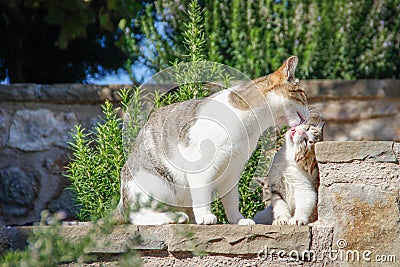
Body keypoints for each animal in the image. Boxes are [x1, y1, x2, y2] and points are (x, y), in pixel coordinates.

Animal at [115, 56, 310, 226]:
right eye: (303, 95)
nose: (310, 113)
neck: (252, 125)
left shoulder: (233, 171)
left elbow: (232, 201)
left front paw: (238, 220)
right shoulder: (200, 166)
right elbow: (202, 196)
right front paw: (205, 216)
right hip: (158, 185)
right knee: (136, 217)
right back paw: (173, 217)